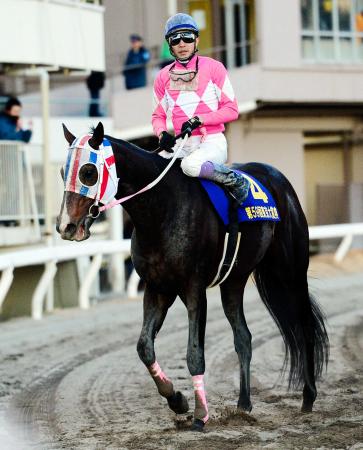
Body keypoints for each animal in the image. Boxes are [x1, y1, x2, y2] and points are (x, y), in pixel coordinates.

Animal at [56, 121, 330, 430]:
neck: (162, 208)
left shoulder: (193, 289)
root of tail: (278, 178)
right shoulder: (157, 288)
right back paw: (243, 404)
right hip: (234, 280)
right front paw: (177, 400)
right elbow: (144, 348)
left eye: (88, 172)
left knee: (304, 325)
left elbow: (194, 354)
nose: (66, 227)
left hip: (291, 270)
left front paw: (200, 415)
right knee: (244, 337)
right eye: (63, 172)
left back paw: (308, 396)